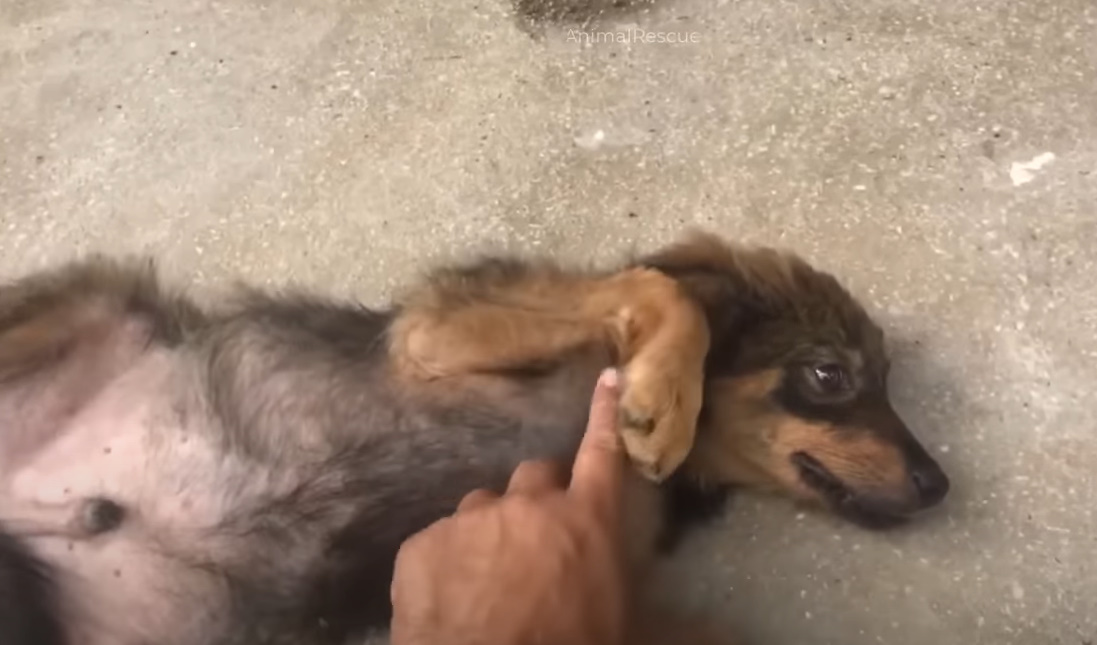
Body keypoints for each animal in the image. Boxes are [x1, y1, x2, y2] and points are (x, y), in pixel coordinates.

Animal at [0, 231, 943, 645]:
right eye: (829, 375)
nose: (940, 485)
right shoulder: (437, 334)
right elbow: (660, 290)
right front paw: (661, 399)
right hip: (91, 306)